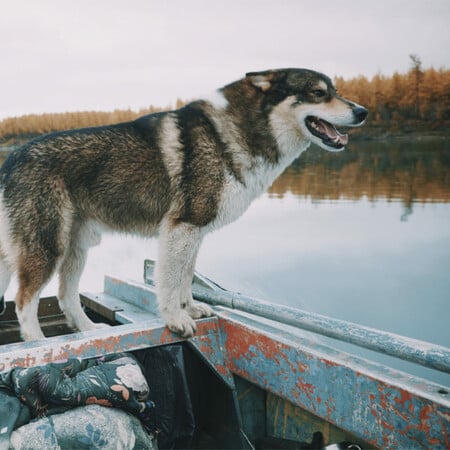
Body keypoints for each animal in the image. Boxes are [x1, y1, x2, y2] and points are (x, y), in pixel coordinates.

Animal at [0, 68, 366, 340]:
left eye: (334, 90)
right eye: (318, 92)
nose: (363, 111)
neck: (231, 132)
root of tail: (12, 159)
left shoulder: (193, 233)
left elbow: (186, 279)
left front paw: (189, 309)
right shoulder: (182, 227)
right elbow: (171, 281)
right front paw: (176, 319)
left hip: (75, 249)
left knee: (66, 297)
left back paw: (89, 330)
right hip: (48, 248)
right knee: (23, 302)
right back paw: (37, 344)